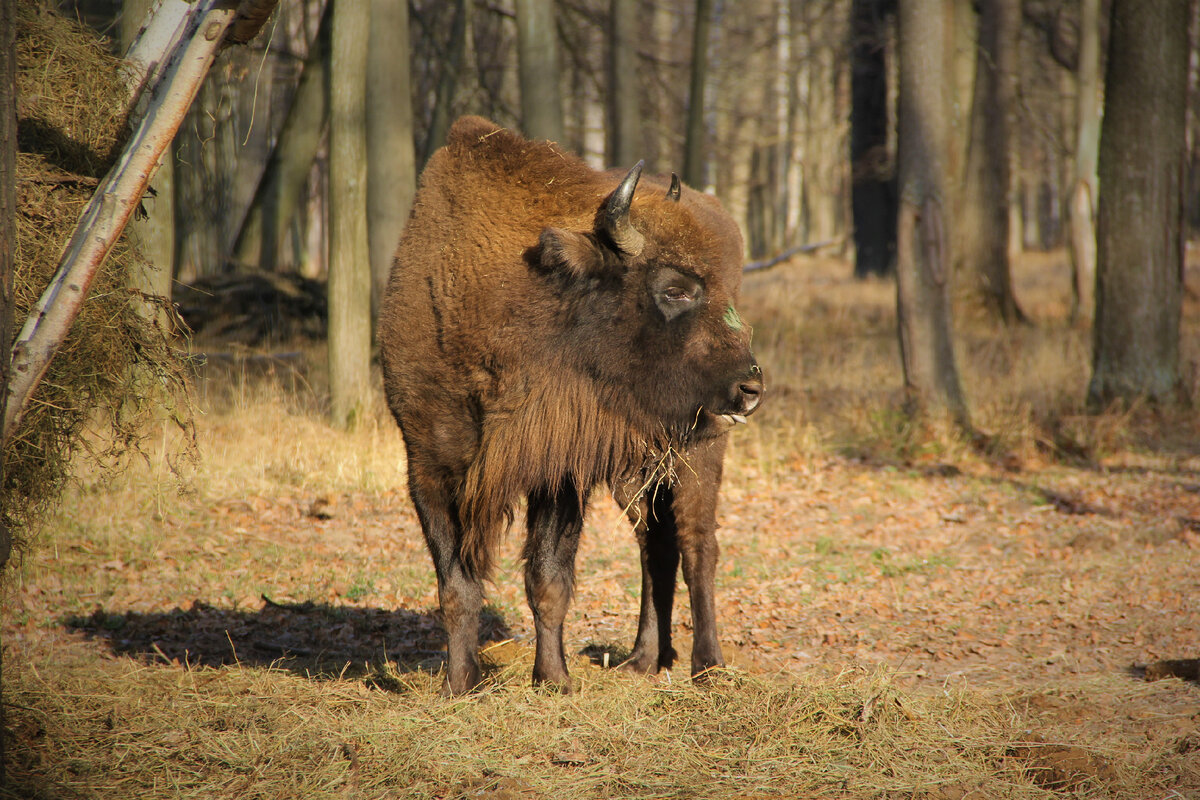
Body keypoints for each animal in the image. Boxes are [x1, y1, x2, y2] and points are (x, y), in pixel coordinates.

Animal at [379, 113, 763, 695]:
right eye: (674, 289)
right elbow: (456, 585)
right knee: (655, 544)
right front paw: (459, 684)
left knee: (698, 543)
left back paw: (707, 666)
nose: (751, 386)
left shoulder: (557, 473)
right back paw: (644, 659)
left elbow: (548, 580)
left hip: (700, 451)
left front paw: (554, 679)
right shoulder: (429, 463)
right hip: (637, 468)